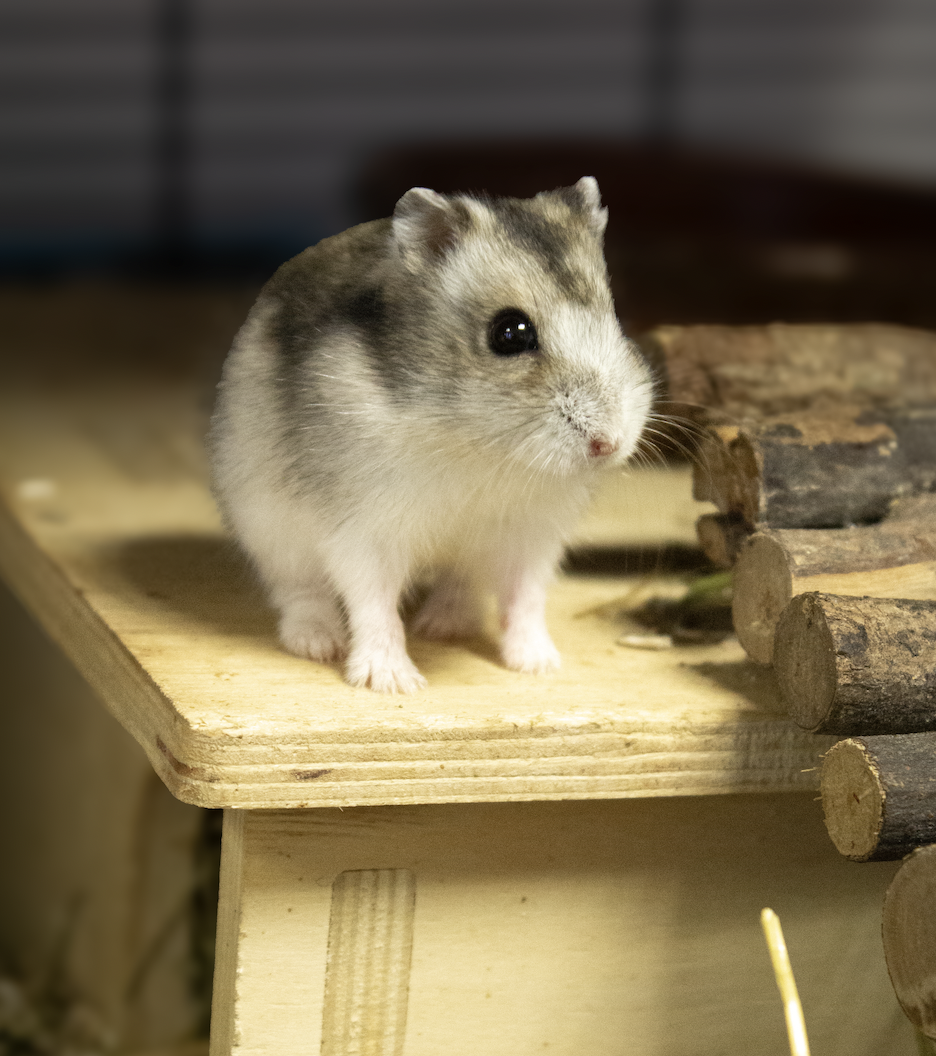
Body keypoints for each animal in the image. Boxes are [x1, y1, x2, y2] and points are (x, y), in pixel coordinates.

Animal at [210, 177, 654, 693]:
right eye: (510, 333)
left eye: (614, 317)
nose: (608, 444)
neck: (474, 439)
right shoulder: (365, 533)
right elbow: (374, 604)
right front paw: (394, 683)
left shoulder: (532, 535)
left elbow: (525, 598)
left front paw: (539, 665)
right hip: (271, 532)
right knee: (301, 593)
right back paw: (320, 644)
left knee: (461, 582)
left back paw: (445, 626)